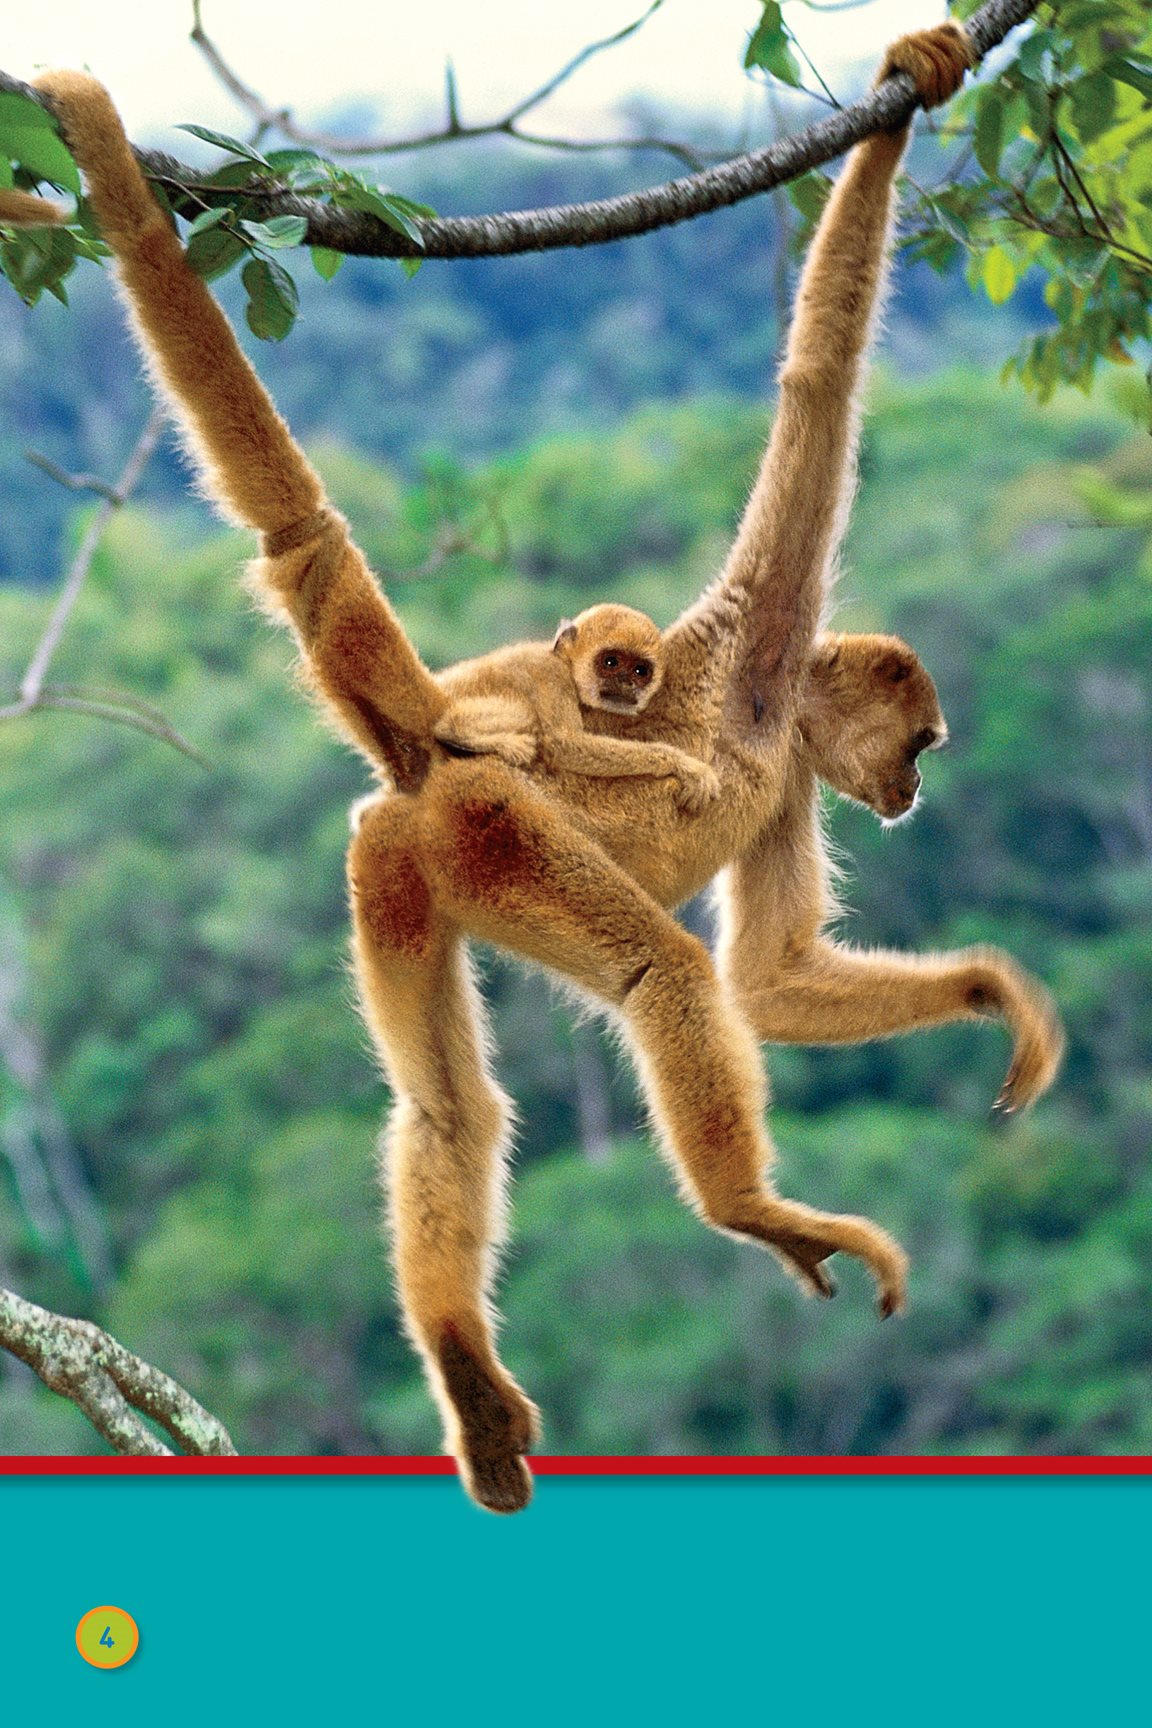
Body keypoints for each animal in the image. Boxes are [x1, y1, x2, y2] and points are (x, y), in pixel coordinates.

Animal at [431, 601, 721, 815]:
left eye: (640, 671)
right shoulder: (551, 675)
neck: (565, 665)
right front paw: (683, 765)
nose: (626, 683)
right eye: (611, 662)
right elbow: (564, 743)